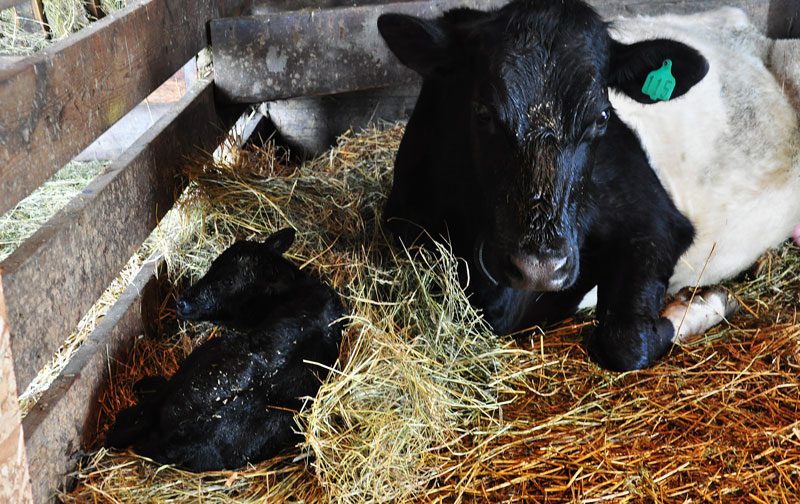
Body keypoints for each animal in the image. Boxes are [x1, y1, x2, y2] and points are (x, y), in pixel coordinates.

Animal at [377, 0, 800, 371]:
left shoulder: (658, 221)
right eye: (482, 112)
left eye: (601, 117)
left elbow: (626, 340)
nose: (541, 268)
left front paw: (701, 307)